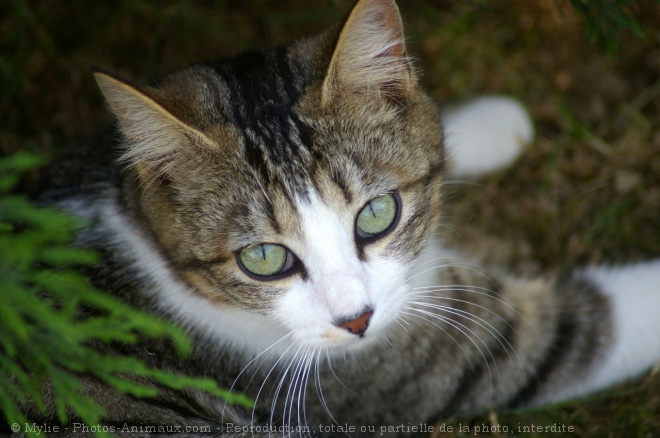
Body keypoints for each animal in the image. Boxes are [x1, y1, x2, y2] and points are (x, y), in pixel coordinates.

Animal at [11, 0, 660, 434]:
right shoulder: (398, 369)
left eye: (376, 214)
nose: (357, 320)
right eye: (263, 258)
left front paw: (491, 123)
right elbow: (572, 333)